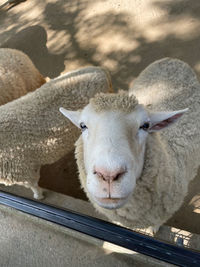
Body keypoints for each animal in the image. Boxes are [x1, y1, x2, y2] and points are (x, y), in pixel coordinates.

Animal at [60, 58, 200, 234]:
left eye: (145, 126)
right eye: (82, 126)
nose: (109, 175)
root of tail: (172, 60)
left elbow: (156, 222)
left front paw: (153, 230)